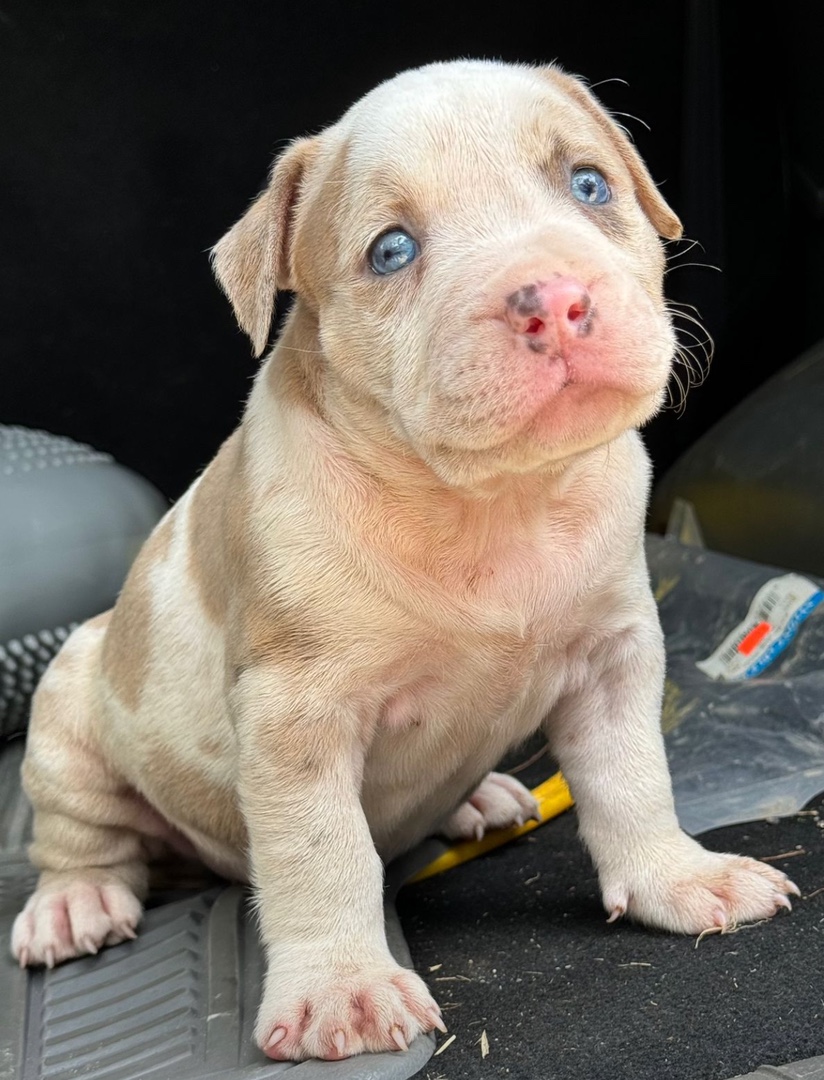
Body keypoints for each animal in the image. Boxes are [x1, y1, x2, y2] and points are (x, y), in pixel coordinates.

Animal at [11, 61, 799, 1062]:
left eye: (589, 185)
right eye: (391, 251)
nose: (554, 298)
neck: (489, 504)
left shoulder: (616, 659)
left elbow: (633, 780)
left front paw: (678, 877)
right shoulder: (295, 715)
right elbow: (322, 853)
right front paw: (342, 990)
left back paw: (480, 797)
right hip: (74, 702)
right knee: (83, 832)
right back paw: (73, 903)